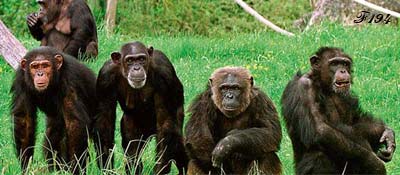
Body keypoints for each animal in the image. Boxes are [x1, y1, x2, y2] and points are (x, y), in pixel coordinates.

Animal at [10, 46, 97, 174]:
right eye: (34, 66)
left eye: (45, 65)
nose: (40, 73)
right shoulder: (21, 79)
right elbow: (24, 120)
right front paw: (26, 166)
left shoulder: (70, 79)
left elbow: (74, 123)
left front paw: (76, 167)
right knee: (53, 135)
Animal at [94, 41, 188, 174]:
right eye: (129, 60)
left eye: (141, 59)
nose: (137, 68)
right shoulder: (105, 77)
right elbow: (104, 121)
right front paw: (106, 167)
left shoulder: (164, 72)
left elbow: (165, 123)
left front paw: (159, 169)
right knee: (132, 150)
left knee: (177, 143)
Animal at [282, 46, 396, 175]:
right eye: (334, 63)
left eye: (345, 64)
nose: (343, 71)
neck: (323, 84)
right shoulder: (304, 87)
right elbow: (320, 129)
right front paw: (373, 162)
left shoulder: (347, 96)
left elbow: (355, 122)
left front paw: (388, 134)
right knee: (318, 155)